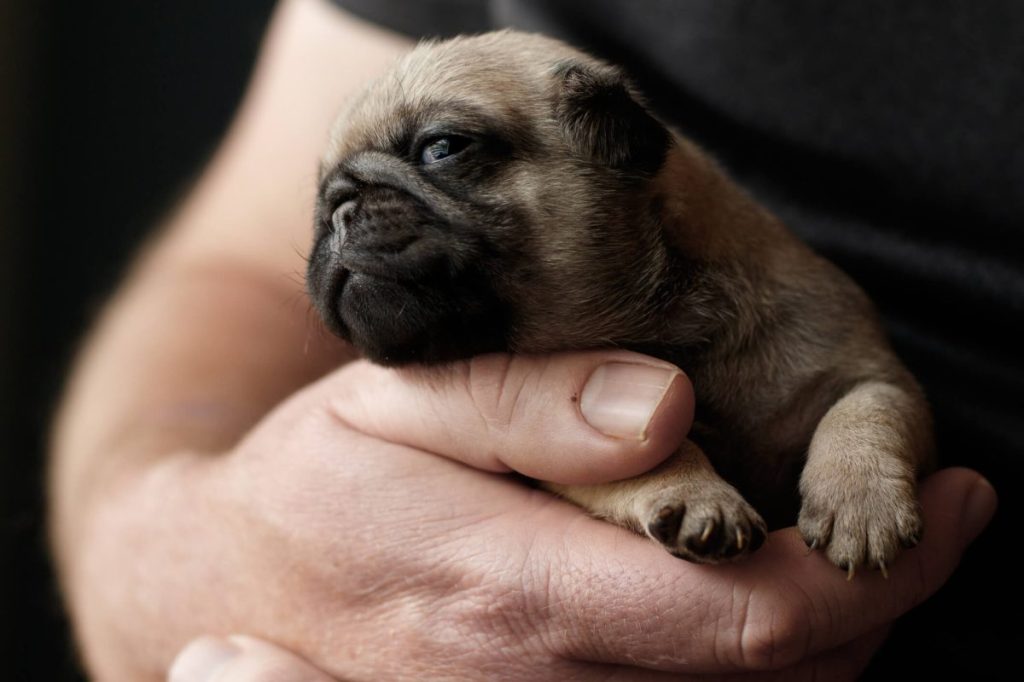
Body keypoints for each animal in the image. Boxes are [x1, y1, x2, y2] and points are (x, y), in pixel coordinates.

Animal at [305, 33, 937, 573]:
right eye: (318, 197)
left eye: (441, 148)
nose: (337, 205)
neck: (668, 321)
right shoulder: (568, 461)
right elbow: (655, 451)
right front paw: (695, 494)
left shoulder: (871, 373)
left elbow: (864, 413)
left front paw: (861, 501)